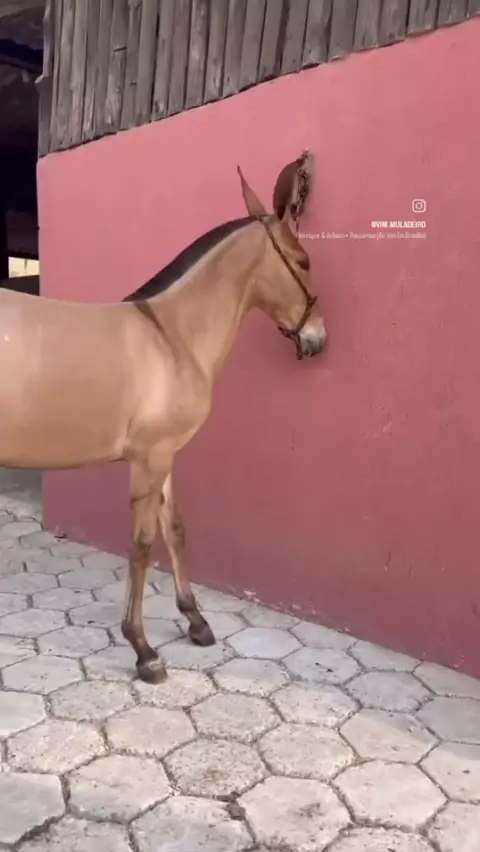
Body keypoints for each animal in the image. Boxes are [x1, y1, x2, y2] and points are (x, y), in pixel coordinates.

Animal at [0, 160, 327, 683]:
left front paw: (195, 620)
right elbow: (142, 544)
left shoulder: (167, 453)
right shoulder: (149, 459)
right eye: (304, 262)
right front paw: (143, 650)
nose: (318, 338)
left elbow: (174, 531)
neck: (171, 337)